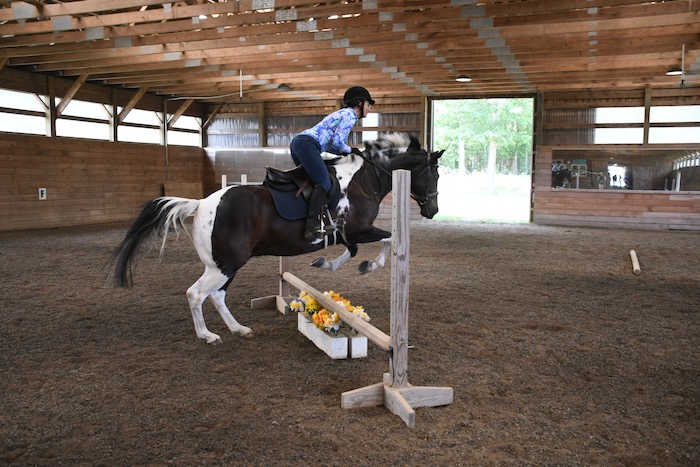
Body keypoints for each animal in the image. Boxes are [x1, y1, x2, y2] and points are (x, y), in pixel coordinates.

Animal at [113, 133, 446, 346]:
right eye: (435, 174)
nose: (432, 210)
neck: (366, 179)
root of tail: (200, 204)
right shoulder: (358, 229)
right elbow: (387, 240)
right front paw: (368, 265)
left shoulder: (347, 234)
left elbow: (350, 251)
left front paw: (327, 263)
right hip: (224, 264)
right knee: (196, 294)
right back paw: (208, 336)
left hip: (226, 265)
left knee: (217, 296)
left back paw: (239, 329)